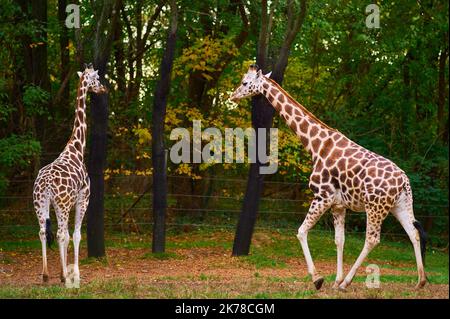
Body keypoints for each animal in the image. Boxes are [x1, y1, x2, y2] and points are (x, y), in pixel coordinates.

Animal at [33, 63, 107, 284]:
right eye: (97, 79)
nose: (104, 89)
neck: (77, 148)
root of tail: (45, 184)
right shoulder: (83, 198)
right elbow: (75, 235)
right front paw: (74, 273)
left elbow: (66, 235)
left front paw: (62, 271)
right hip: (62, 203)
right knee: (59, 233)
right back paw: (64, 277)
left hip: (41, 203)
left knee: (43, 231)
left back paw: (46, 275)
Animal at [230, 63, 428, 292]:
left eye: (245, 82)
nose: (233, 96)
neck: (316, 145)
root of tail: (404, 181)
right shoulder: (338, 205)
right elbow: (339, 240)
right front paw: (335, 280)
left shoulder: (322, 196)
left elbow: (301, 231)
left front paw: (319, 279)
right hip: (400, 205)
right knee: (413, 233)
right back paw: (420, 281)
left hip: (375, 207)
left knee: (372, 239)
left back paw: (348, 282)